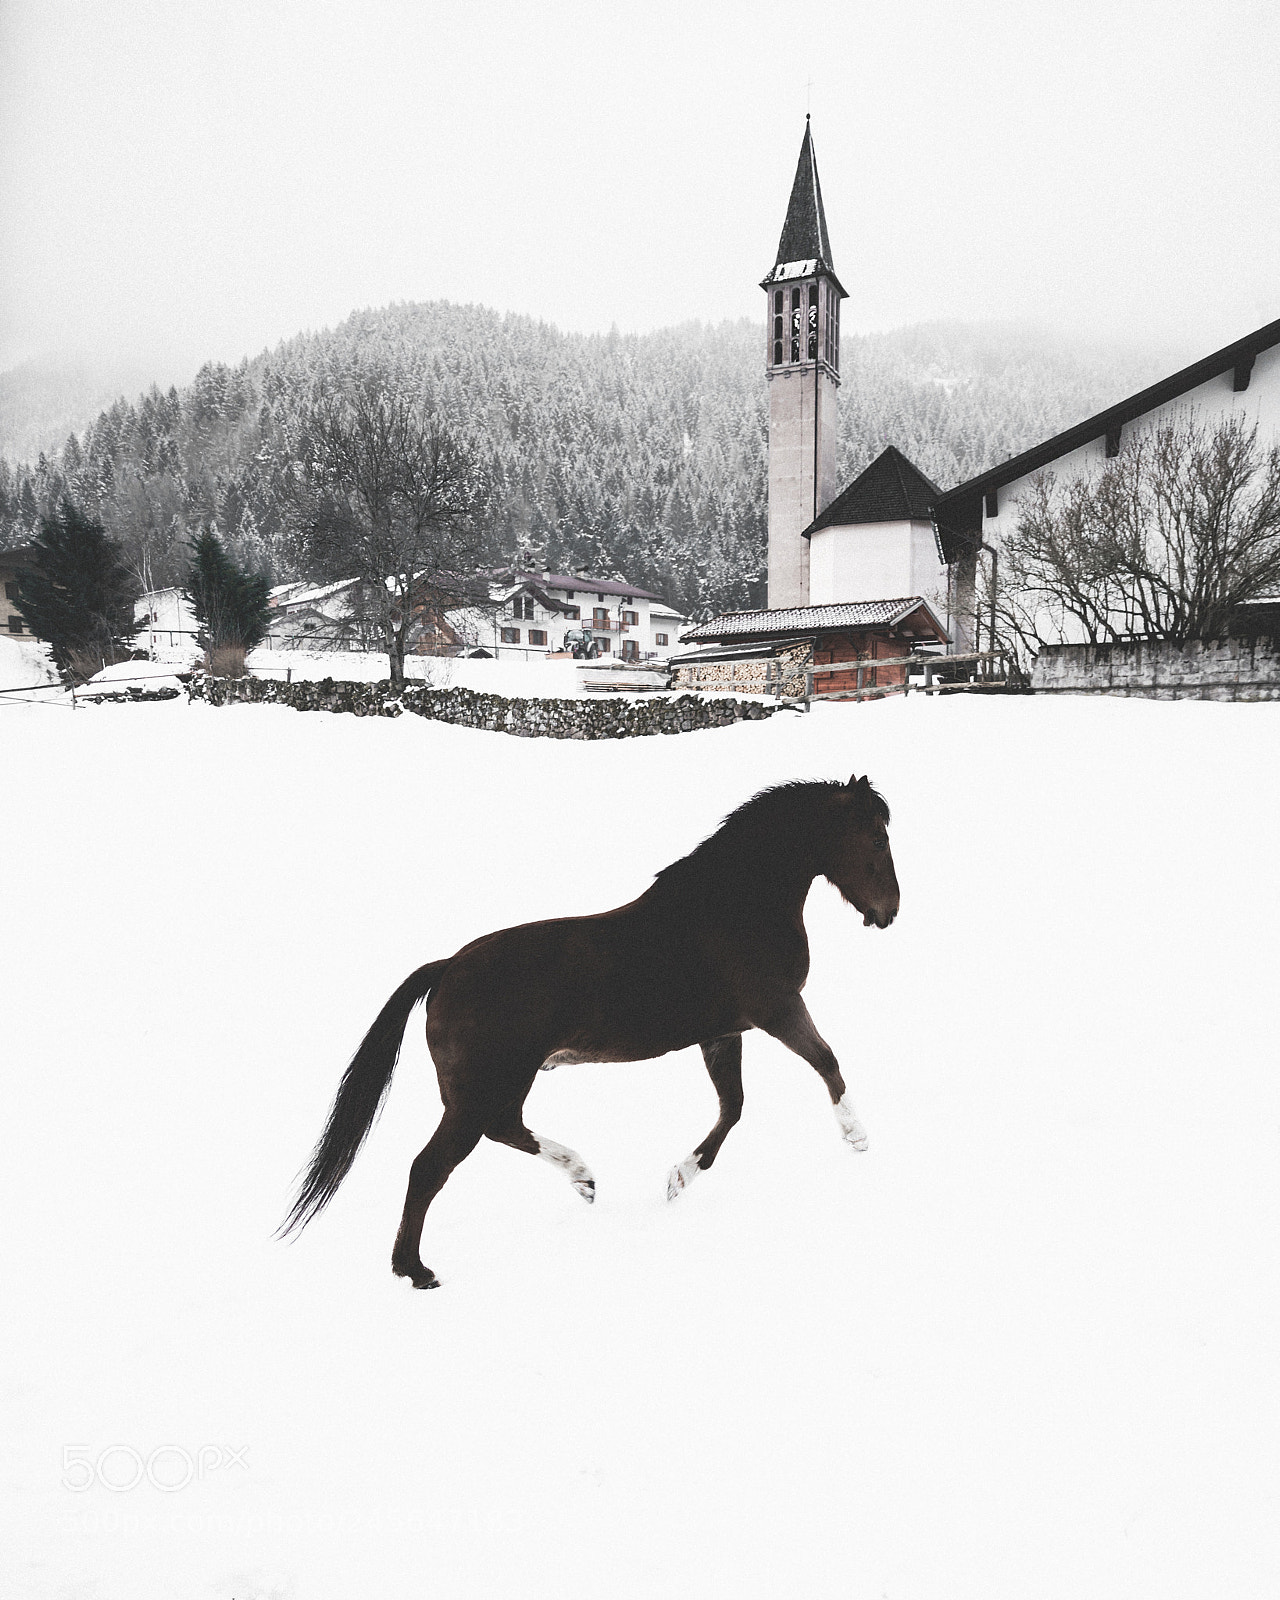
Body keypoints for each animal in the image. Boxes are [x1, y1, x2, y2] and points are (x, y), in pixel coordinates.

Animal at [280, 773, 900, 1288]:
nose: (889, 911)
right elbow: (826, 1061)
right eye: (875, 839)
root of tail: (446, 968)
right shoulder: (777, 1008)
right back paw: (416, 1270)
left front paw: (678, 1179)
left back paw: (584, 1179)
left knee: (506, 1130)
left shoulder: (723, 1032)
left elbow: (734, 1107)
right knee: (430, 1166)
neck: (733, 908)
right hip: (483, 1088)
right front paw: (857, 1137)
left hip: (498, 1085)